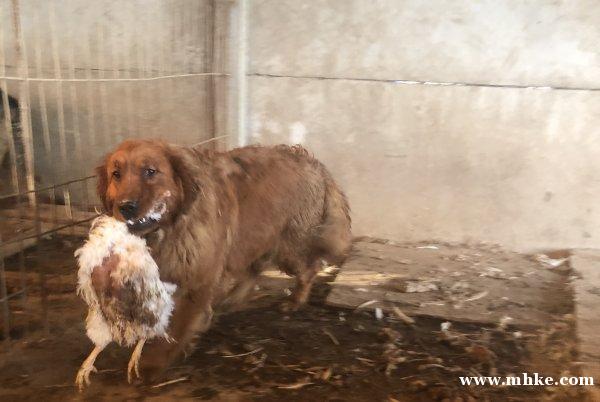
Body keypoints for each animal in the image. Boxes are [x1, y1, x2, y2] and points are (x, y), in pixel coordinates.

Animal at [95, 139, 352, 380]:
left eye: (150, 171)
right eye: (116, 174)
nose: (125, 207)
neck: (173, 225)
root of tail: (314, 163)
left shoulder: (197, 281)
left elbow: (177, 326)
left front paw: (154, 361)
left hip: (288, 246)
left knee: (309, 268)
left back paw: (295, 300)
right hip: (252, 237)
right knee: (255, 268)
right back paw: (232, 299)